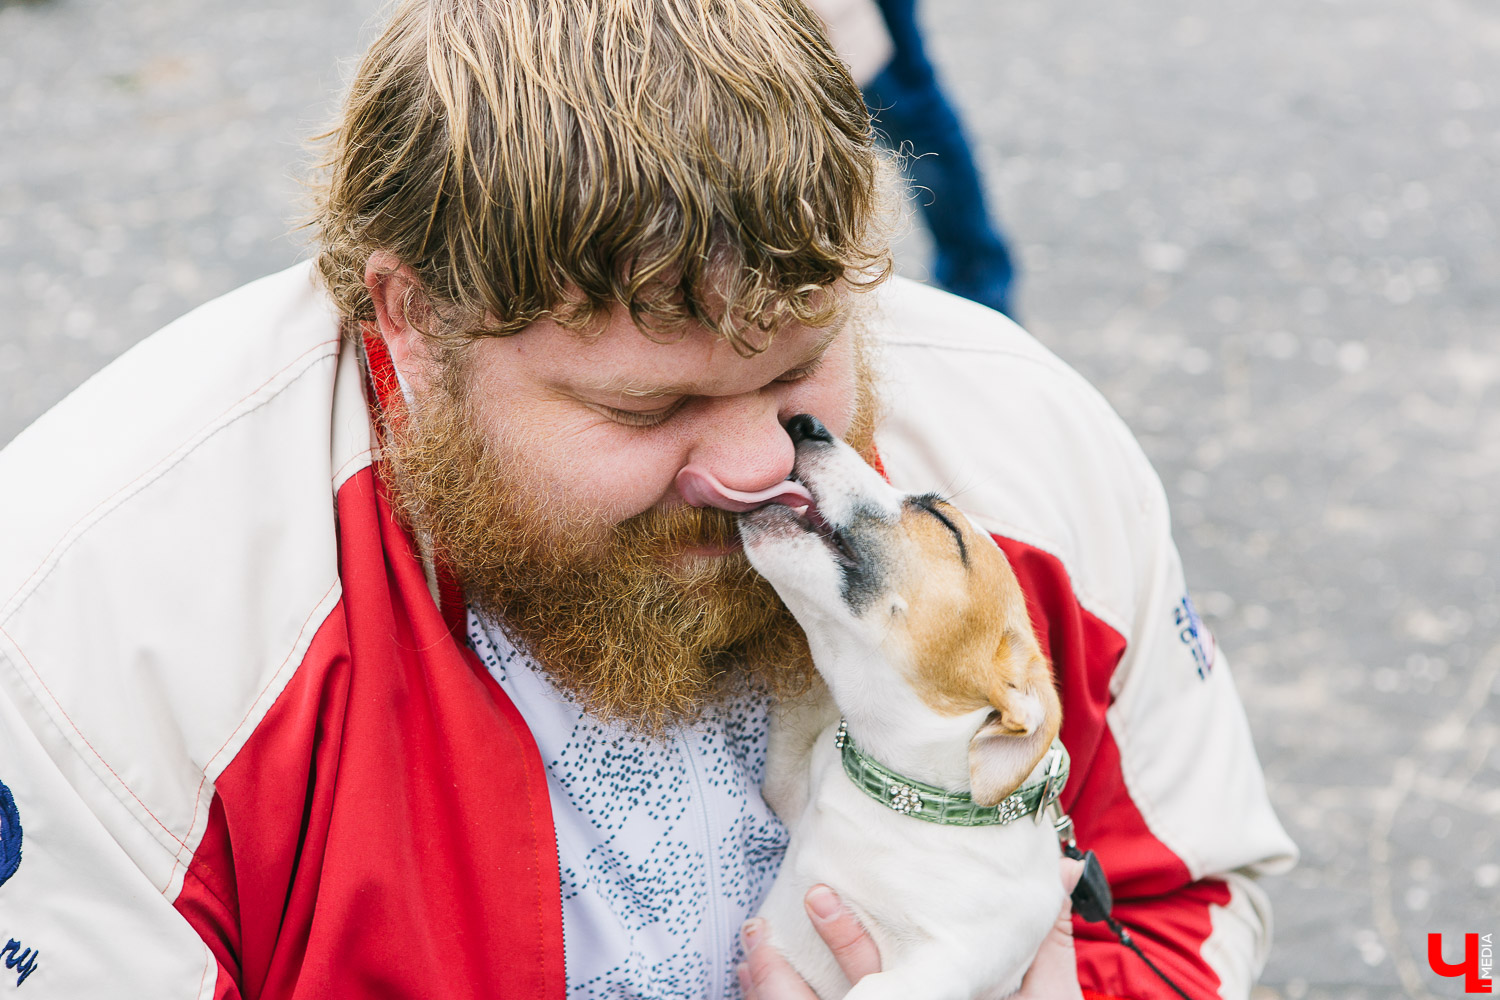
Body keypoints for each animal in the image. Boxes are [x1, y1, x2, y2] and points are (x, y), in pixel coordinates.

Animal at [738, 413, 1068, 1000]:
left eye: (942, 520)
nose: (803, 421)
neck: (899, 795)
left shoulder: (954, 964)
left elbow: (870, 991)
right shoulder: (790, 786)